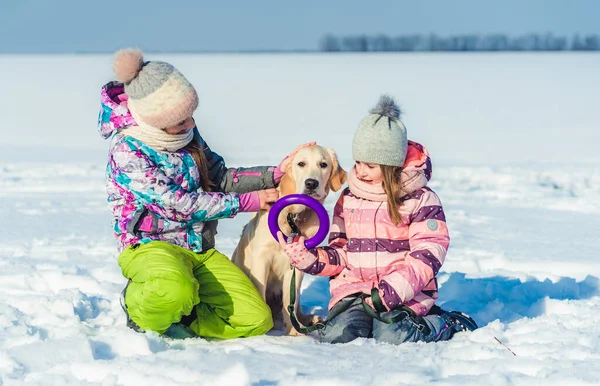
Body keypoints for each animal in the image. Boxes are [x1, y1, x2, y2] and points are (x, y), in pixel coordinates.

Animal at [233, 145, 346, 334]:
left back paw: (308, 319)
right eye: (301, 163)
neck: (293, 218)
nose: (311, 183)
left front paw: (294, 331)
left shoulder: (298, 262)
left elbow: (289, 302)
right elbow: (260, 290)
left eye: (323, 164)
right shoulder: (262, 258)